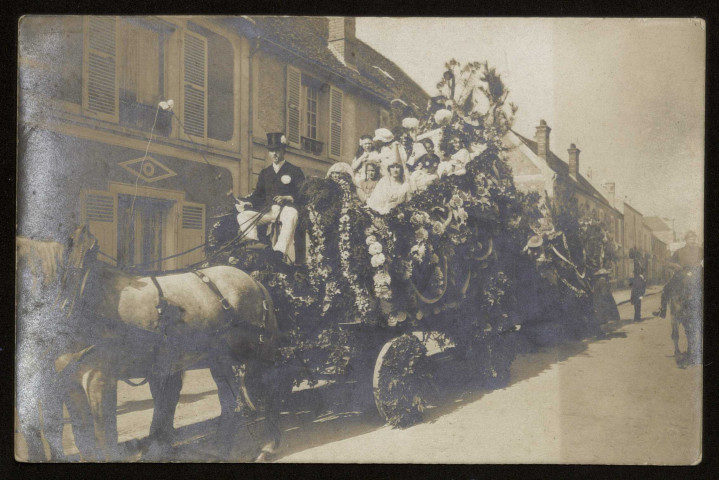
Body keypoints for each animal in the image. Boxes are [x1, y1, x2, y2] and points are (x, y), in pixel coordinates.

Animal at [15, 227, 290, 464]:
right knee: (229, 402)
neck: (77, 293)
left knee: (271, 390)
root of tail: (255, 282)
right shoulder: (69, 379)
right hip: (220, 360)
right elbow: (83, 438)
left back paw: (269, 446)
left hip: (258, 353)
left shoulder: (99, 376)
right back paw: (220, 448)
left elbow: (104, 435)